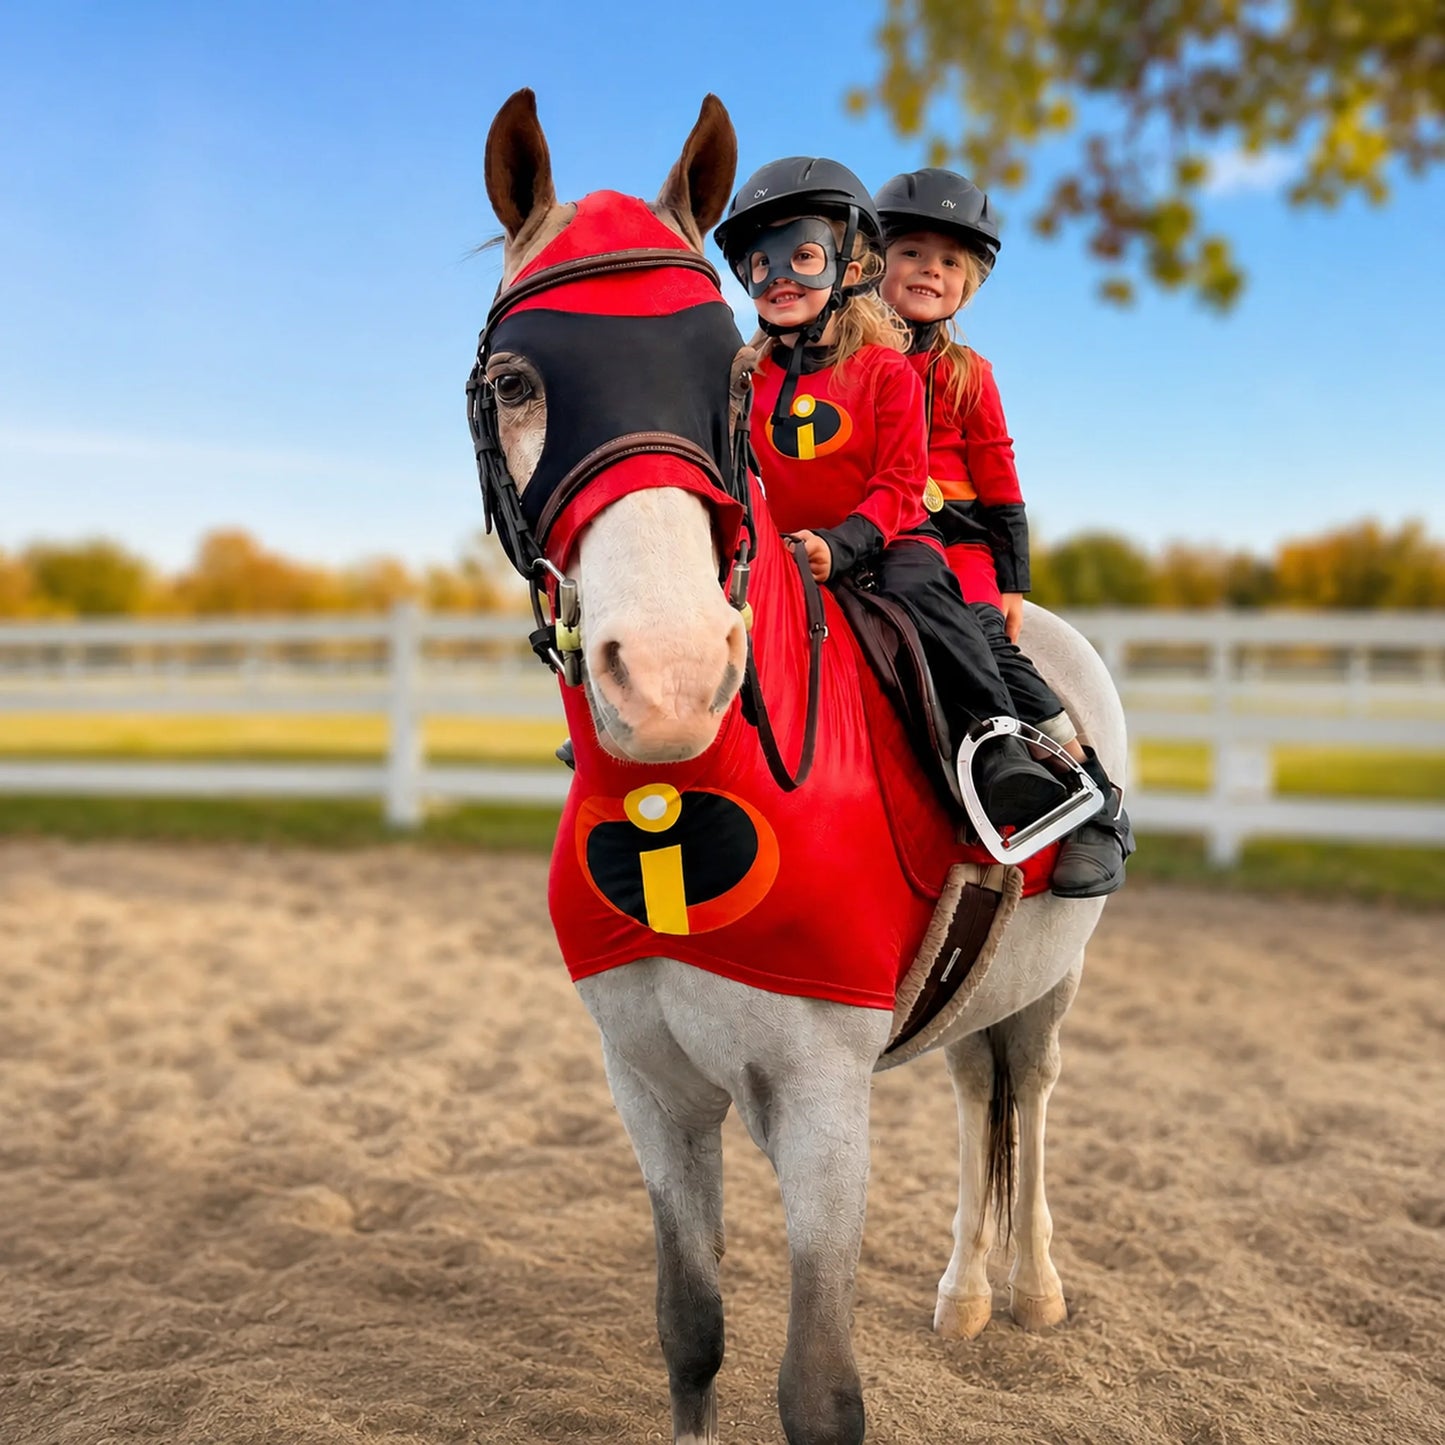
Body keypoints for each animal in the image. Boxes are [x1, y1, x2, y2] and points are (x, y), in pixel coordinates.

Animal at [469, 88, 1127, 1445]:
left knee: (1028, 1095)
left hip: (1052, 983)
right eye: (514, 379)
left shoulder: (822, 1106)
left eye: (726, 373)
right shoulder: (651, 1091)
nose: (670, 672)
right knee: (974, 1086)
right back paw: (964, 1295)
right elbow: (690, 1329)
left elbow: (818, 1390)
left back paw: (1028, 1288)